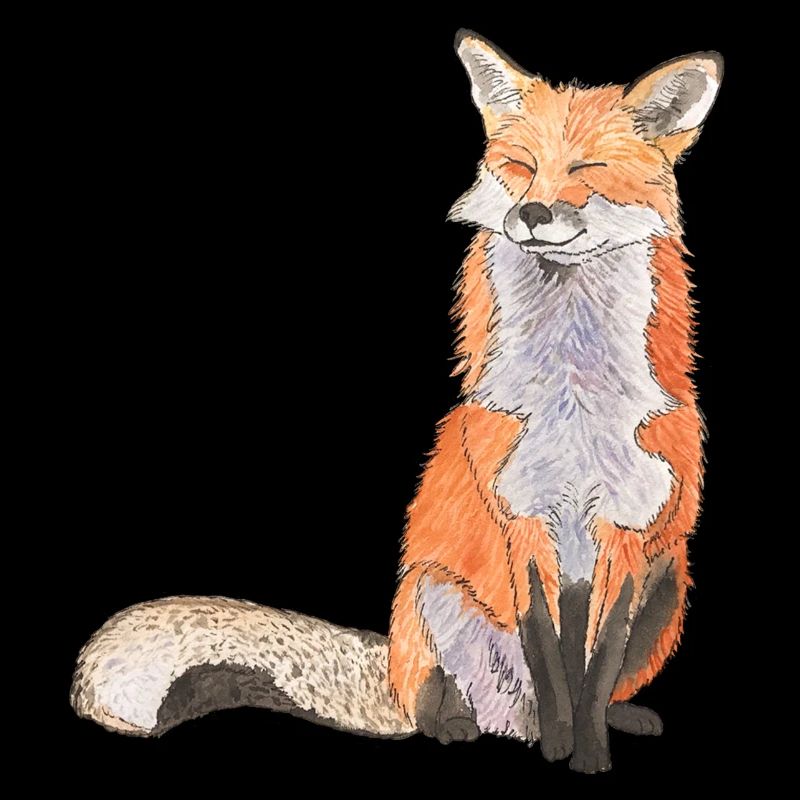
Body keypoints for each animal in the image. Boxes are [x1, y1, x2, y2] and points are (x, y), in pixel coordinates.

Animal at [71, 31, 722, 773]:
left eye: (588, 168)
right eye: (521, 167)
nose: (530, 214)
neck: (574, 398)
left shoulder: (629, 532)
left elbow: (596, 662)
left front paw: (587, 752)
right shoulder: (521, 520)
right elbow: (549, 655)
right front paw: (563, 745)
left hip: (671, 583)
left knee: (599, 682)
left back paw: (615, 719)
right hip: (430, 596)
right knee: (442, 699)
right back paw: (467, 725)